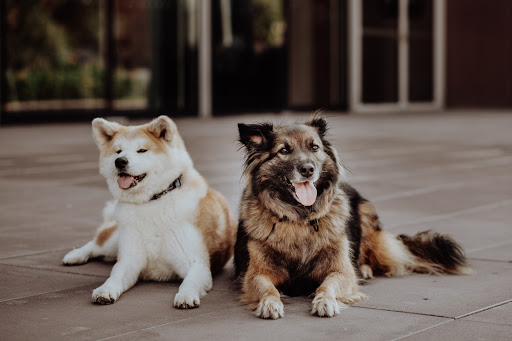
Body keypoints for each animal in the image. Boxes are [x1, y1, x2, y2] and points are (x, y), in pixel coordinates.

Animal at [63, 115, 237, 308]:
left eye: (141, 150)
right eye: (118, 151)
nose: (120, 161)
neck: (153, 200)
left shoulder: (196, 263)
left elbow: (189, 282)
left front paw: (186, 295)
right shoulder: (129, 260)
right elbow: (114, 277)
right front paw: (105, 290)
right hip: (114, 242)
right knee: (96, 244)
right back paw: (75, 255)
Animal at [234, 113, 470, 318]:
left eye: (314, 147)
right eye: (284, 150)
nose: (308, 169)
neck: (300, 219)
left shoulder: (341, 270)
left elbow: (328, 285)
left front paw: (325, 301)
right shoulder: (255, 273)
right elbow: (267, 288)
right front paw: (270, 303)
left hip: (366, 216)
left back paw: (364, 269)